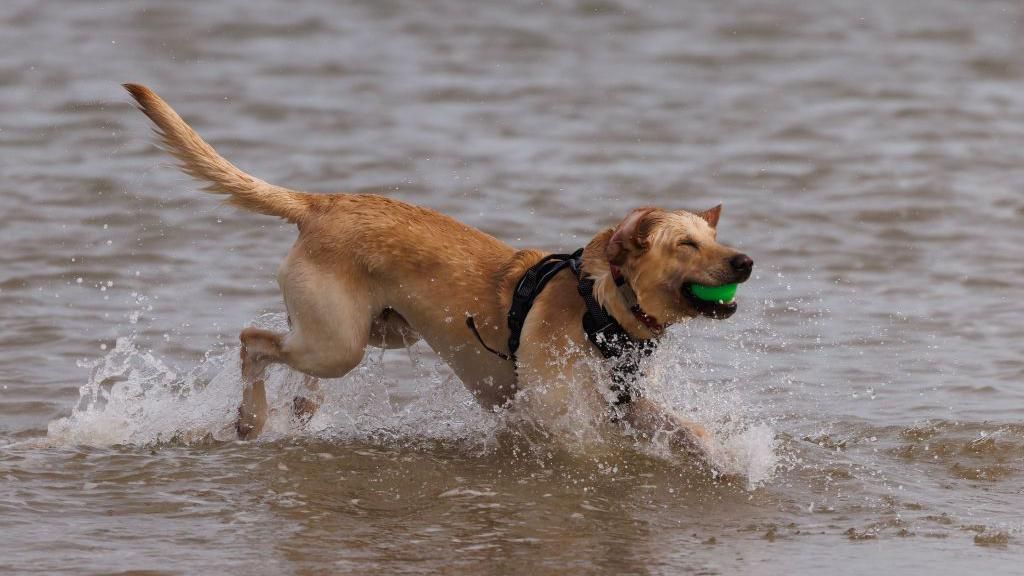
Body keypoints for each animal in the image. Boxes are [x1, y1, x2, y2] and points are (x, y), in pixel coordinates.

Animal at [125, 84, 753, 461]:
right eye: (686, 244)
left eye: (715, 240)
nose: (745, 262)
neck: (602, 307)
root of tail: (322, 203)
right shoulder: (563, 414)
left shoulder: (630, 404)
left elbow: (691, 431)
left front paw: (728, 458)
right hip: (339, 342)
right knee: (252, 341)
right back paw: (250, 419)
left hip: (380, 328)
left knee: (285, 352)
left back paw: (300, 409)